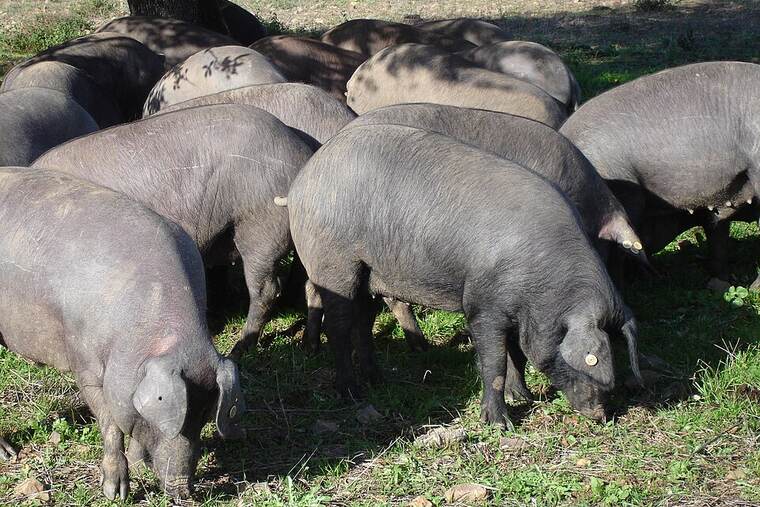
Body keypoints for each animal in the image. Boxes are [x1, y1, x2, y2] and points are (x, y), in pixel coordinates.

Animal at [0, 167, 244, 499]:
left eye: (206, 416)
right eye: (170, 423)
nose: (184, 490)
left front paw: (140, 467)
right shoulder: (85, 365)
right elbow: (110, 424)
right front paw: (116, 493)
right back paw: (9, 454)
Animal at [286, 124, 642, 426]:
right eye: (593, 359)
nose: (600, 415)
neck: (544, 287)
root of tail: (302, 179)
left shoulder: (517, 312)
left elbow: (516, 353)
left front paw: (523, 397)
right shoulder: (482, 304)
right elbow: (494, 359)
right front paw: (500, 423)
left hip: (370, 272)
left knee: (363, 321)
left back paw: (378, 380)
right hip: (332, 264)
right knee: (339, 325)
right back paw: (351, 392)